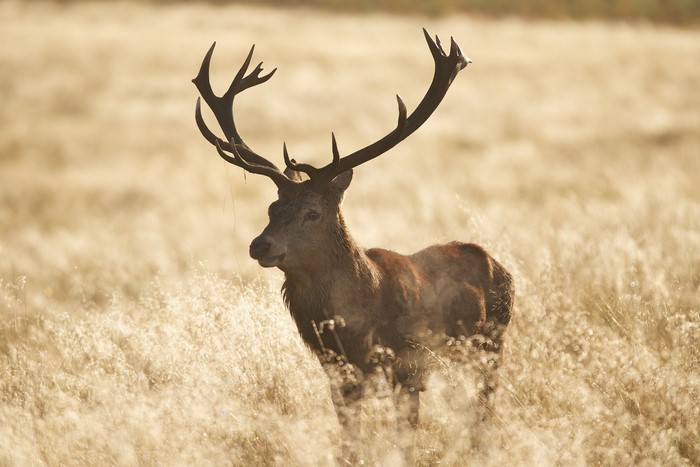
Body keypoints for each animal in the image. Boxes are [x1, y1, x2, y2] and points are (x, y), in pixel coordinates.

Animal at [192, 29, 514, 428]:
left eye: (312, 213)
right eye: (272, 207)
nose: (259, 245)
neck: (358, 321)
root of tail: (499, 265)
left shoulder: (409, 366)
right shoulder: (338, 373)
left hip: (492, 347)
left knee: (483, 413)